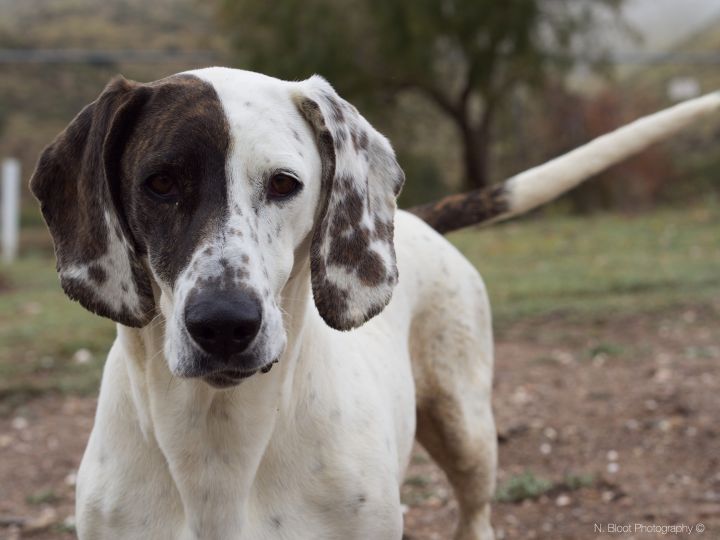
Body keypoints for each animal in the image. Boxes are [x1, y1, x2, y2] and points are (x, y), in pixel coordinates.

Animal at [29, 68, 720, 540]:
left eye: (284, 184)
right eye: (161, 182)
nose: (224, 324)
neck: (218, 445)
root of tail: (412, 218)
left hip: (467, 429)